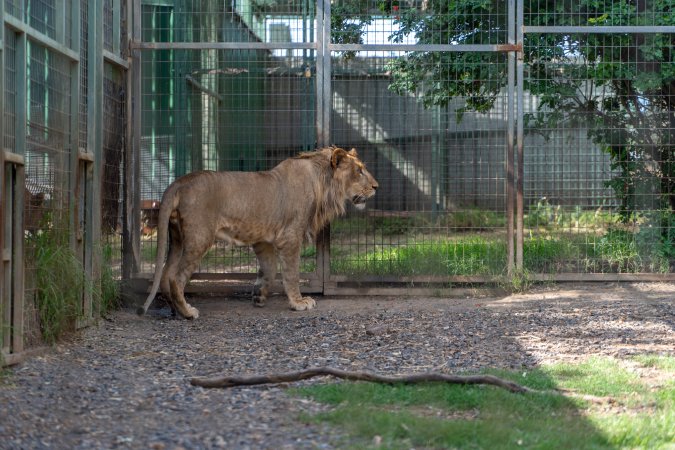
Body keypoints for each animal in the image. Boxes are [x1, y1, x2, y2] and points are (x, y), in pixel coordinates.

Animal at [137, 146, 378, 319]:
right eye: (359, 171)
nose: (376, 186)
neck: (322, 183)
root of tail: (178, 182)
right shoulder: (290, 237)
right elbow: (292, 273)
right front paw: (299, 302)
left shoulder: (265, 241)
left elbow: (269, 270)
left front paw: (259, 296)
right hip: (199, 238)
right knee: (176, 278)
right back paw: (188, 312)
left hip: (177, 238)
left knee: (165, 275)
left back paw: (175, 310)